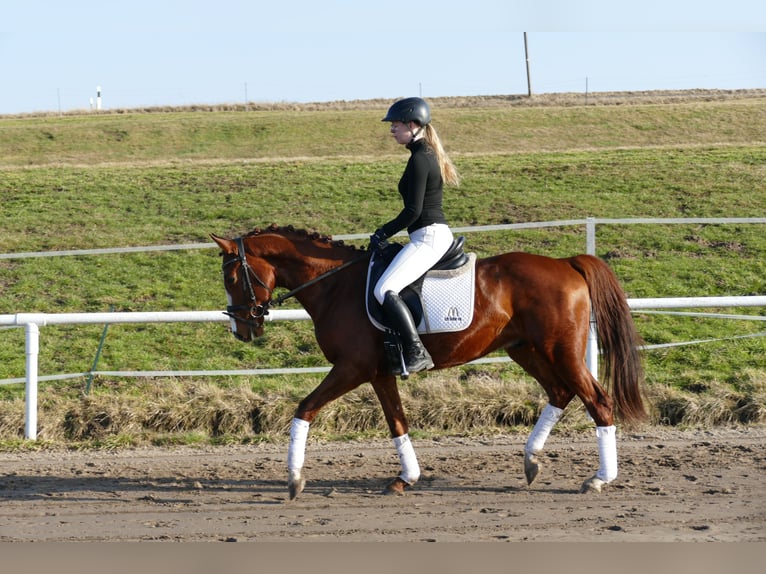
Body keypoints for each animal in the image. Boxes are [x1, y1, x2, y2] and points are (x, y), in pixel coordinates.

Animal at [211, 224, 646, 499]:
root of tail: (565, 262)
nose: (242, 330)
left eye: (231, 279)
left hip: (561, 351)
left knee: (597, 401)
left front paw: (294, 479)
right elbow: (397, 423)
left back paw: (599, 480)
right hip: (525, 349)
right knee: (559, 392)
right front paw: (406, 478)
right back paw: (531, 461)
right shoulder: (378, 373)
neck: (335, 285)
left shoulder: (351, 369)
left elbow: (304, 409)